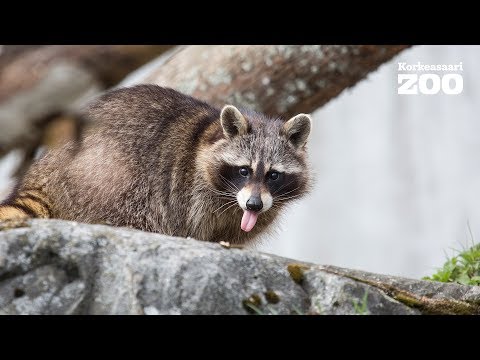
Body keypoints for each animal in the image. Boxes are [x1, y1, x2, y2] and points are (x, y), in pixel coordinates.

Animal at [0, 85, 312, 245]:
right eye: (244, 170)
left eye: (273, 175)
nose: (254, 205)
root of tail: (44, 171)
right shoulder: (190, 196)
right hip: (105, 179)